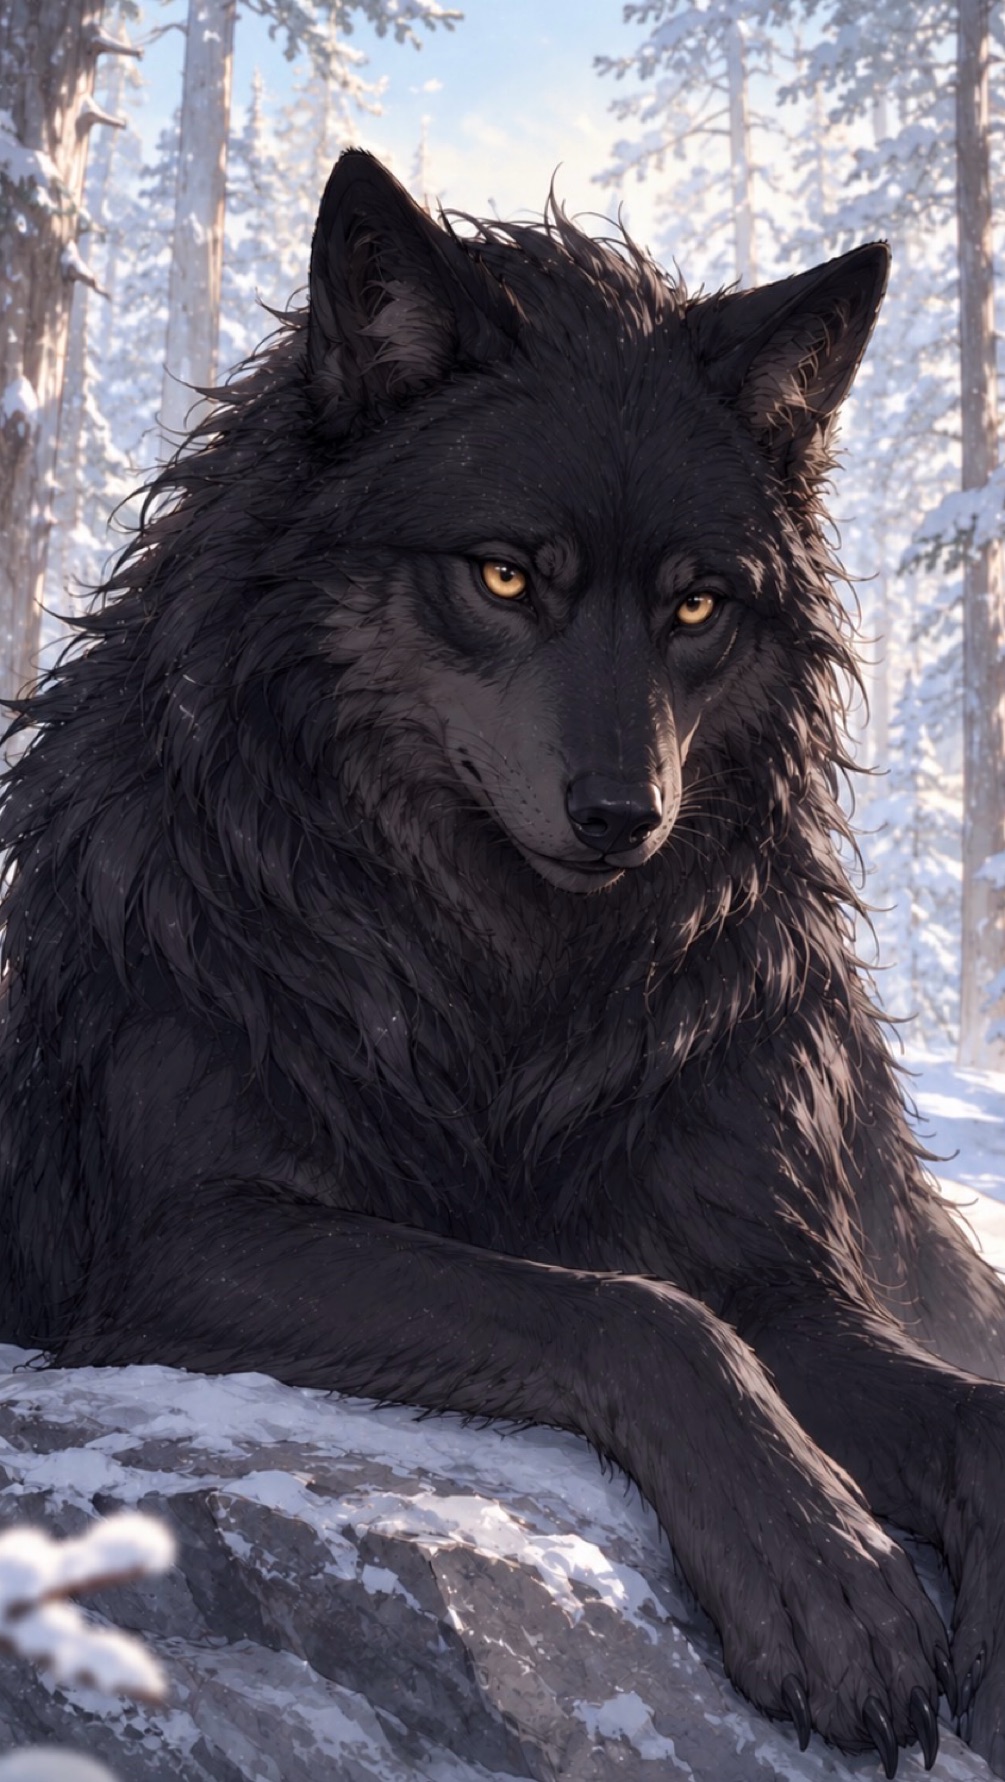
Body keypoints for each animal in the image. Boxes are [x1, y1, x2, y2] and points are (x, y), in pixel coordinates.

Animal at [2, 150, 1005, 1775]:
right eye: (505, 578)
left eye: (696, 603)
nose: (623, 816)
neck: (509, 989)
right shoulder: (177, 1235)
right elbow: (628, 1311)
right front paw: (830, 1586)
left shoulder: (782, 1278)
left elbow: (969, 1407)